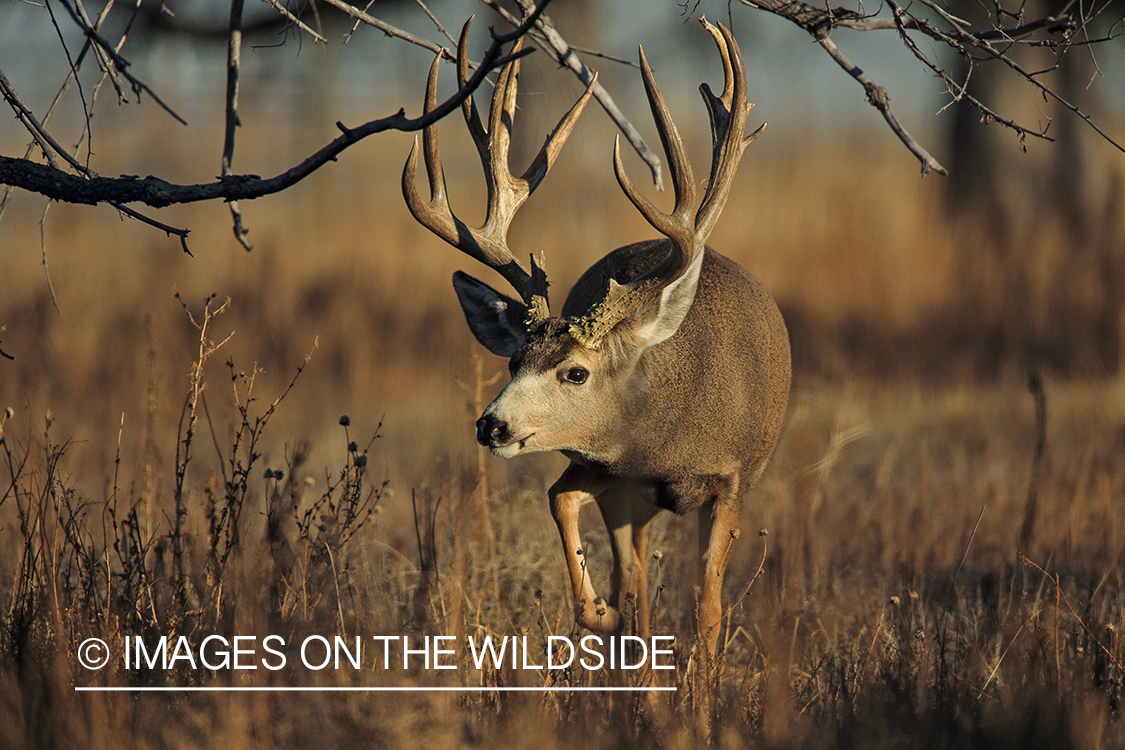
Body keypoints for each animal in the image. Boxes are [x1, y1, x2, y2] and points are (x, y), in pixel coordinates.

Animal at [402, 18, 790, 661]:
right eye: (513, 361)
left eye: (576, 372)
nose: (491, 425)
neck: (668, 442)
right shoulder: (613, 476)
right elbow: (582, 530)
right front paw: (604, 616)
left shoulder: (733, 479)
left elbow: (708, 610)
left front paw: (703, 684)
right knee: (627, 576)